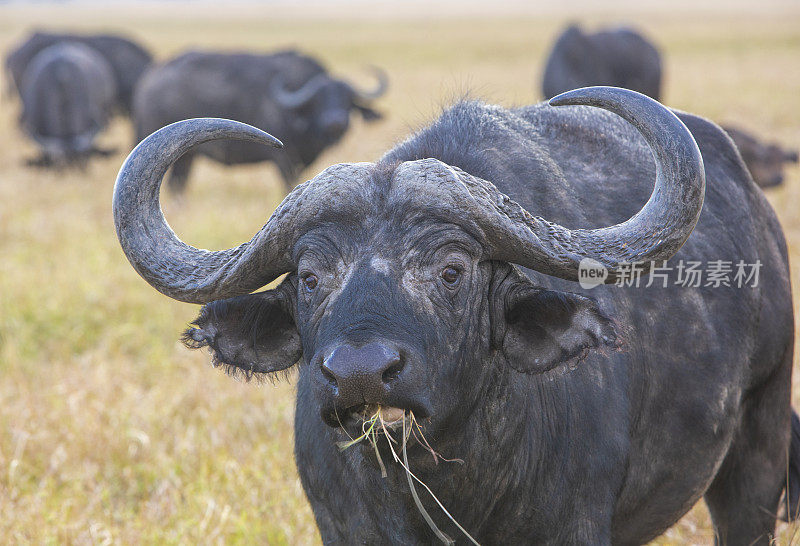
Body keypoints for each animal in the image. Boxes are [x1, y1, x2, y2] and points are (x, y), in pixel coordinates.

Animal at [131, 49, 388, 193]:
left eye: (347, 100)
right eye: (318, 100)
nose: (336, 122)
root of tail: (150, 78)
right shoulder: (284, 160)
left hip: (186, 158)